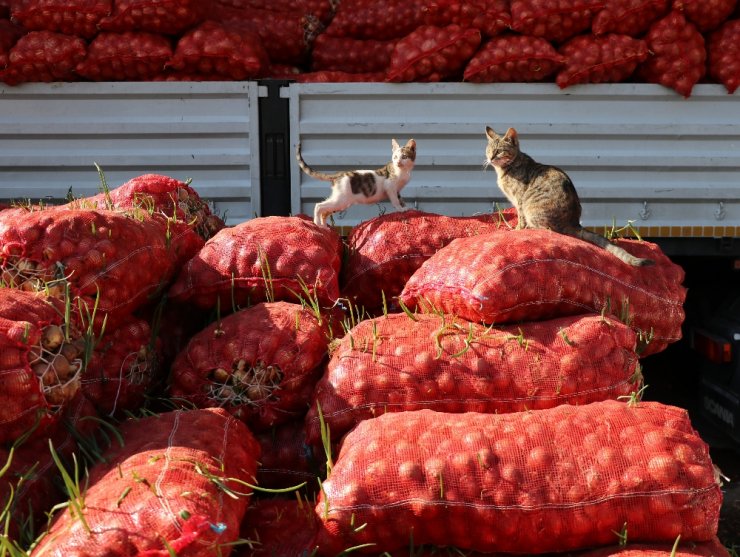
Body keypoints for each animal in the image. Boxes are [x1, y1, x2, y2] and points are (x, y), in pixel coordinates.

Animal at [486, 125, 652, 266]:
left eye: (499, 151)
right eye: (488, 150)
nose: (490, 158)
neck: (505, 170)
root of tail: (574, 222)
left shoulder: (520, 200)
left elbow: (521, 219)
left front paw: (517, 230)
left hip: (532, 209)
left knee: (547, 229)